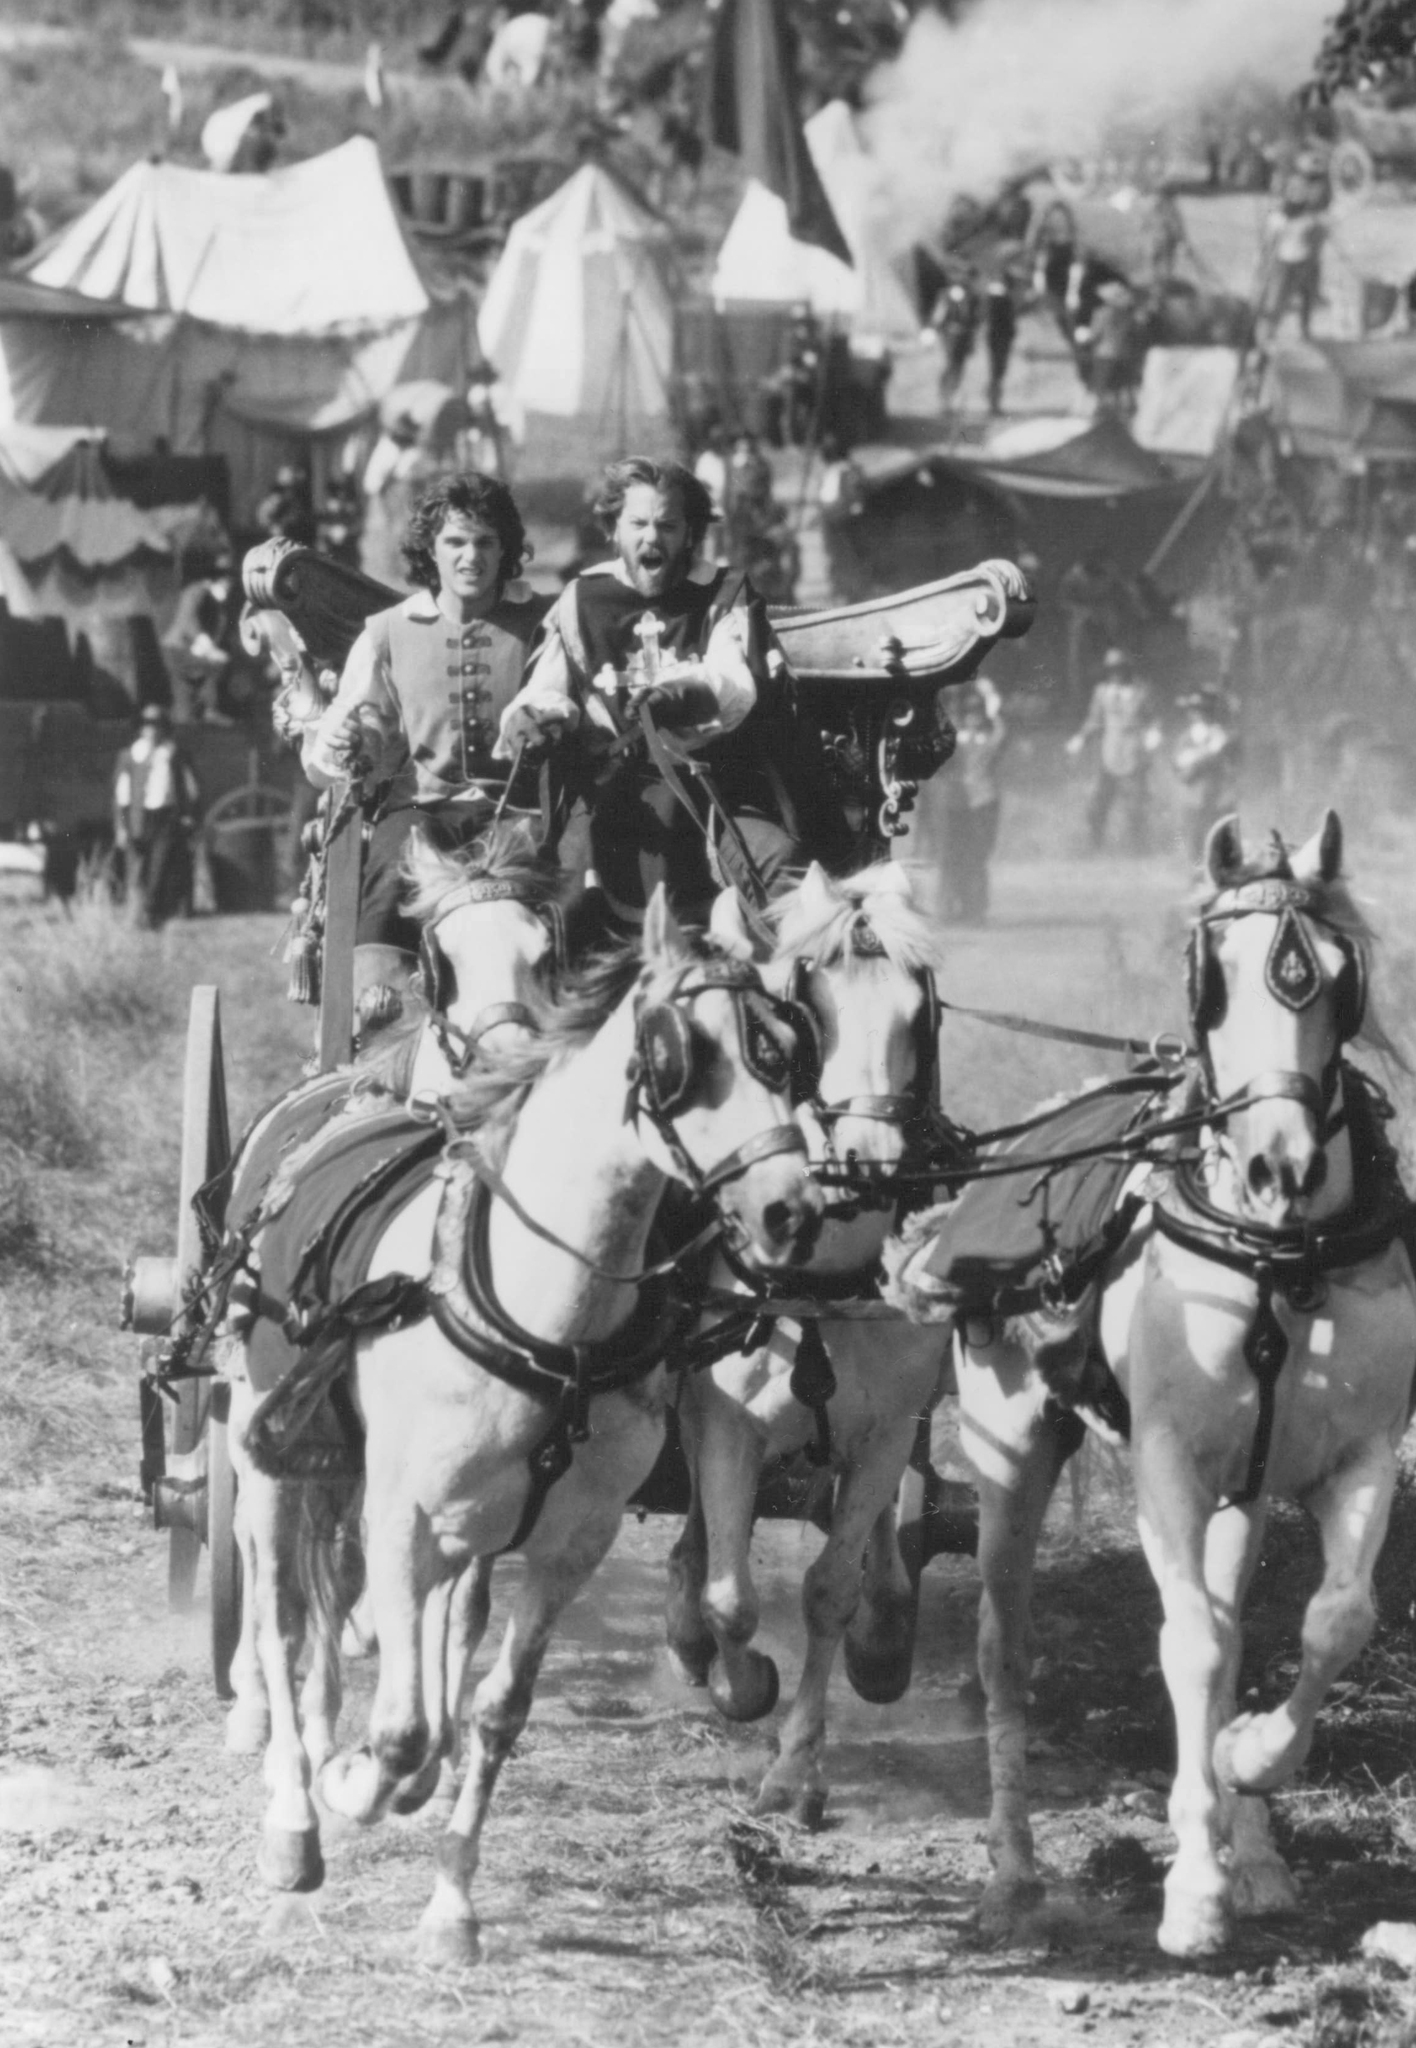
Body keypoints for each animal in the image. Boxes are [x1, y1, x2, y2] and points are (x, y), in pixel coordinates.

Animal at [248, 888, 823, 1957]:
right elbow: (397, 1724)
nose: (790, 1211)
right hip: (268, 1450)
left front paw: (451, 1905)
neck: (548, 1315)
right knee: (282, 1616)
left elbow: (496, 1711)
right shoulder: (401, 1515)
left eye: (782, 1049)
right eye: (682, 1057)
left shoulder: (568, 1541)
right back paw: (294, 1813)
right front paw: (350, 1781)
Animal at [663, 864, 950, 1826]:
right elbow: (731, 1598)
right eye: (800, 1013)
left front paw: (795, 1769)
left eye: (920, 1010)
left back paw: (887, 1627)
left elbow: (831, 1587)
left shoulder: (886, 1429)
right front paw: (740, 1681)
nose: (868, 1164)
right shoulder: (723, 1421)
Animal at [893, 806, 1409, 1957]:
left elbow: (1331, 1621)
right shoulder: (1167, 1467)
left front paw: (1247, 1772)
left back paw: (1250, 1843)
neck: (1278, 1254)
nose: (1279, 1162)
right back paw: (1013, 1873)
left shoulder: (1356, 1458)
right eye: (1211, 976)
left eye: (1337, 975)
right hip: (1010, 1453)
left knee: (1235, 1619)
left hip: (1240, 1493)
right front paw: (1194, 1890)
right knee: (1006, 1649)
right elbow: (1192, 1646)